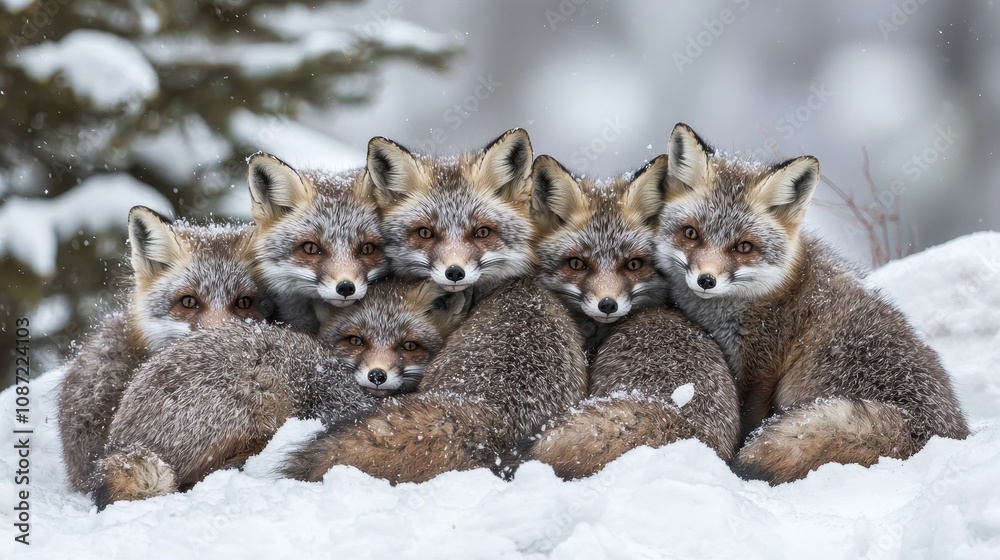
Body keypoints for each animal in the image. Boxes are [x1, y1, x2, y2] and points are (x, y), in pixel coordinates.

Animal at [653, 122, 969, 484]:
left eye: (743, 247)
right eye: (691, 233)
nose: (706, 280)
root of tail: (932, 429)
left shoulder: (761, 369)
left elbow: (748, 420)